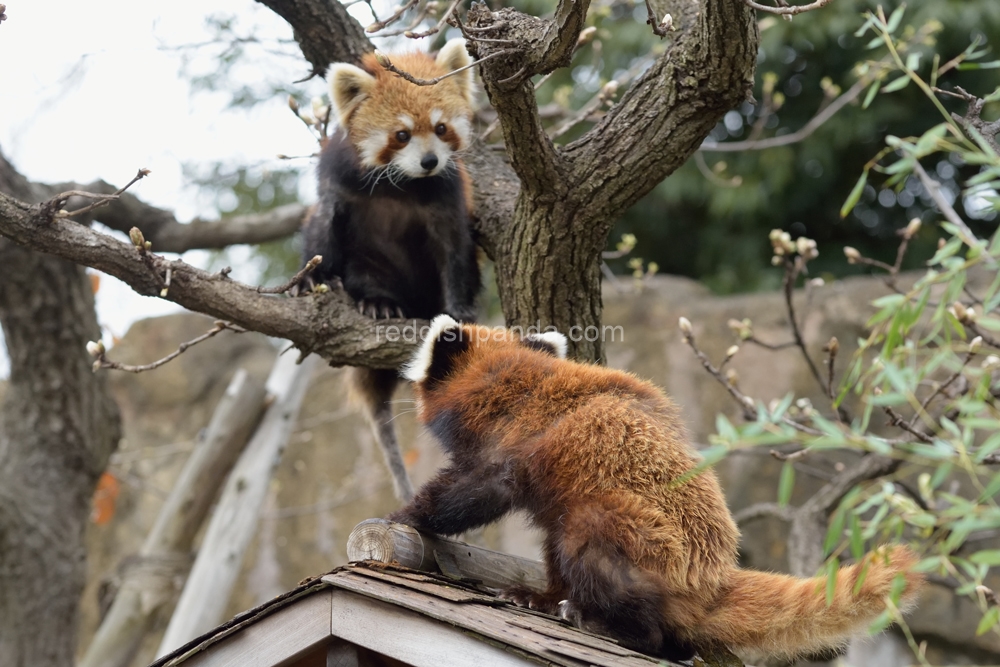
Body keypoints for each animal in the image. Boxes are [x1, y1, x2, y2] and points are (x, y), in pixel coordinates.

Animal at [300, 41, 480, 500]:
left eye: (441, 128)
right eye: (401, 135)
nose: (430, 161)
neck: (399, 184)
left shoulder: (447, 196)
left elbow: (455, 252)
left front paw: (459, 310)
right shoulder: (340, 184)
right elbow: (322, 231)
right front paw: (311, 280)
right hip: (369, 264)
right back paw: (378, 303)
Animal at [386, 318, 924, 664]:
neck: (509, 382)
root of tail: (714, 579)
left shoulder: (512, 445)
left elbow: (473, 493)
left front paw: (405, 517)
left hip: (637, 535)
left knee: (601, 556)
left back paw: (599, 621)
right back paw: (542, 598)